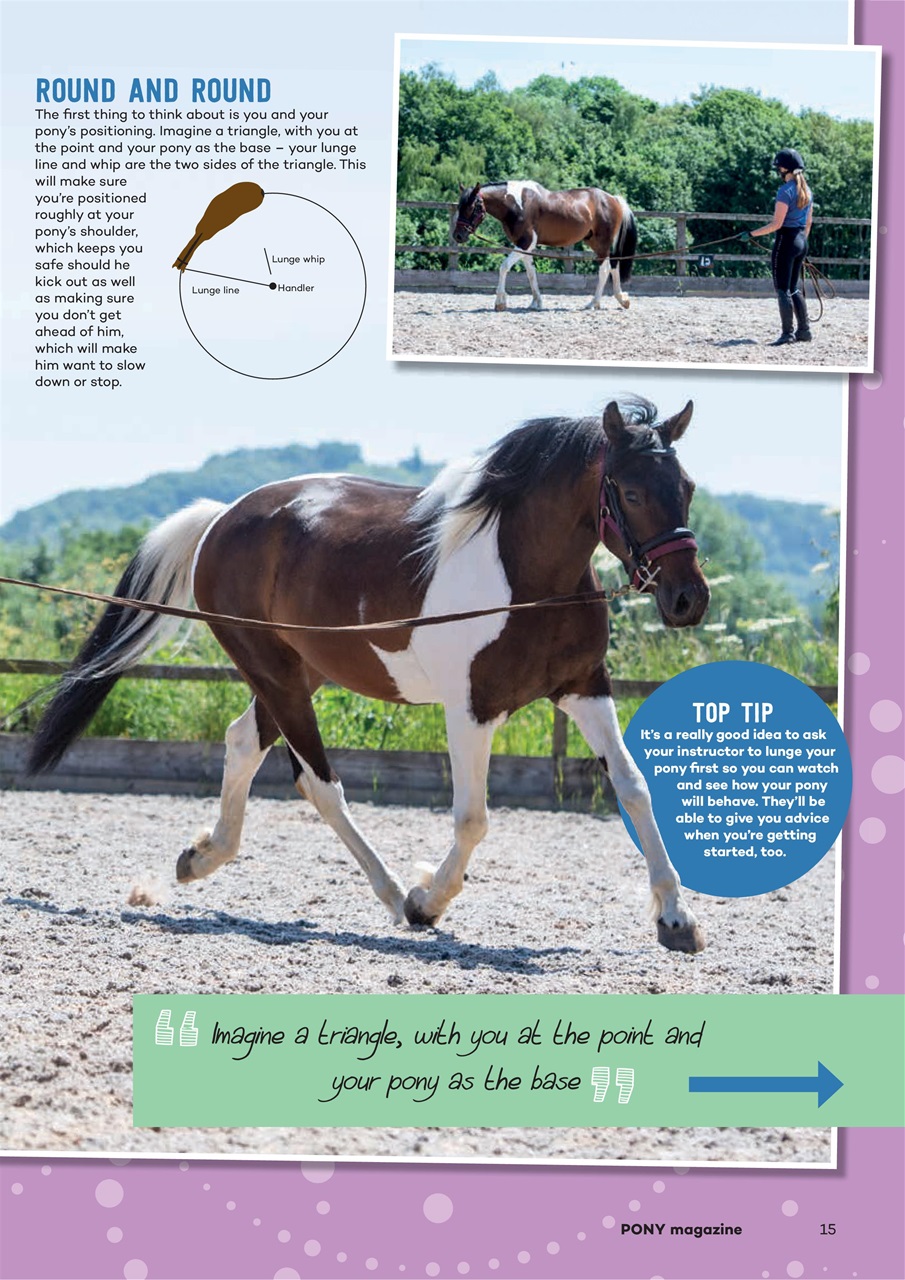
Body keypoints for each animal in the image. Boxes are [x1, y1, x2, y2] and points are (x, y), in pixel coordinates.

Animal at [27, 396, 709, 954]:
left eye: (687, 486)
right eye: (630, 491)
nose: (687, 600)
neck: (527, 578)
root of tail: (221, 519)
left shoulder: (583, 688)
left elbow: (633, 787)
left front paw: (676, 921)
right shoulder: (472, 707)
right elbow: (473, 817)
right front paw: (429, 900)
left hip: (299, 673)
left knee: (243, 742)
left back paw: (199, 858)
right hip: (274, 672)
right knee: (319, 782)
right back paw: (394, 896)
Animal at [453, 180, 637, 313]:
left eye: (472, 207)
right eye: (459, 206)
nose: (458, 236)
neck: (516, 204)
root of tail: (613, 199)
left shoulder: (525, 244)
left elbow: (503, 267)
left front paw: (500, 302)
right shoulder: (525, 248)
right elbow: (531, 274)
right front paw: (536, 303)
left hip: (602, 243)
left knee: (605, 269)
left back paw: (594, 303)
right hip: (595, 243)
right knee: (612, 266)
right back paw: (618, 300)